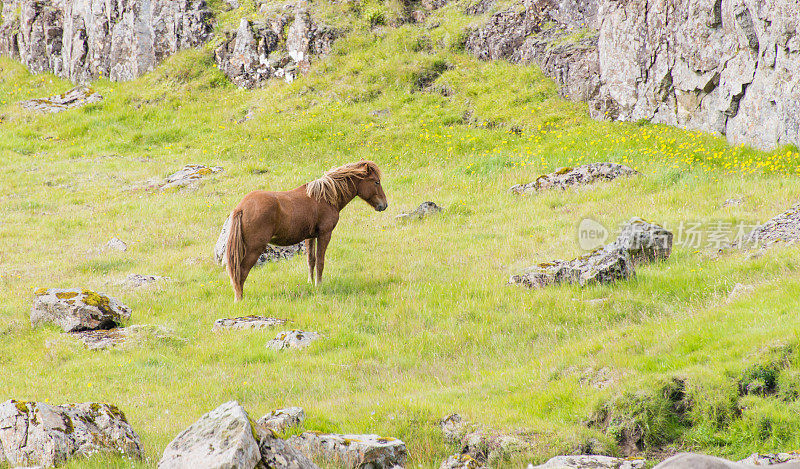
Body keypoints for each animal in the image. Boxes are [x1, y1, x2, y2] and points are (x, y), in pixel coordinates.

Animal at [225, 159, 388, 302]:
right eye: (376, 182)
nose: (384, 205)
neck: (325, 197)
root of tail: (241, 208)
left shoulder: (310, 237)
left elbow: (311, 260)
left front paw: (311, 283)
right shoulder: (324, 234)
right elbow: (320, 261)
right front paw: (319, 284)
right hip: (254, 248)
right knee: (241, 271)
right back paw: (239, 298)